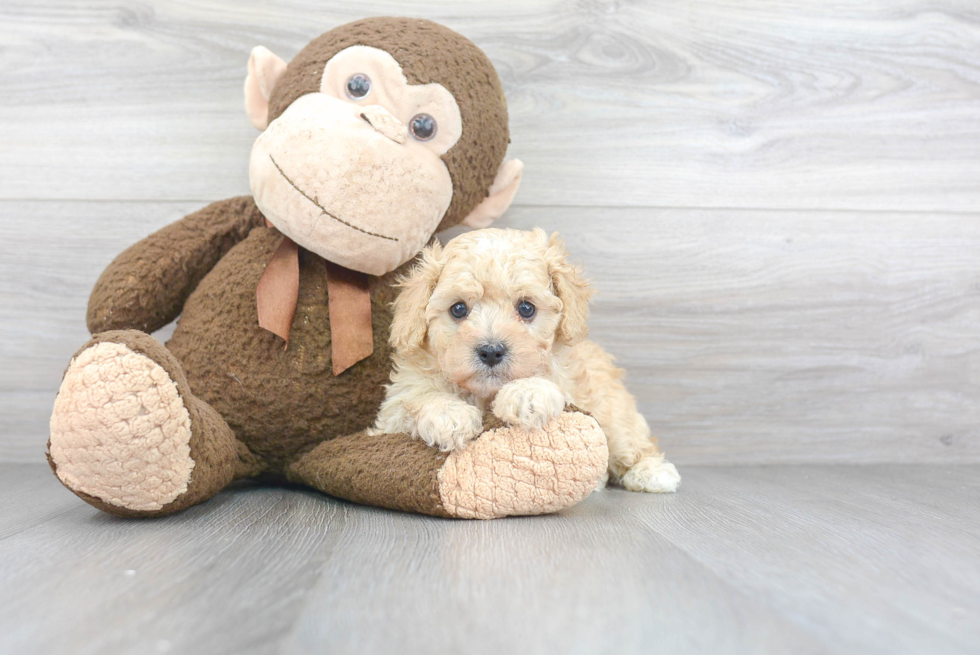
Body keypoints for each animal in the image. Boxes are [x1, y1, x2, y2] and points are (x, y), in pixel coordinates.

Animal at [372, 226, 676, 492]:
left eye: (526, 308)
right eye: (458, 309)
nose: (491, 351)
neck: (484, 394)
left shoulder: (569, 385)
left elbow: (546, 383)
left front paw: (525, 394)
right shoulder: (389, 418)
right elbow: (415, 401)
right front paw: (449, 415)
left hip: (614, 412)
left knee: (632, 443)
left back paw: (652, 472)